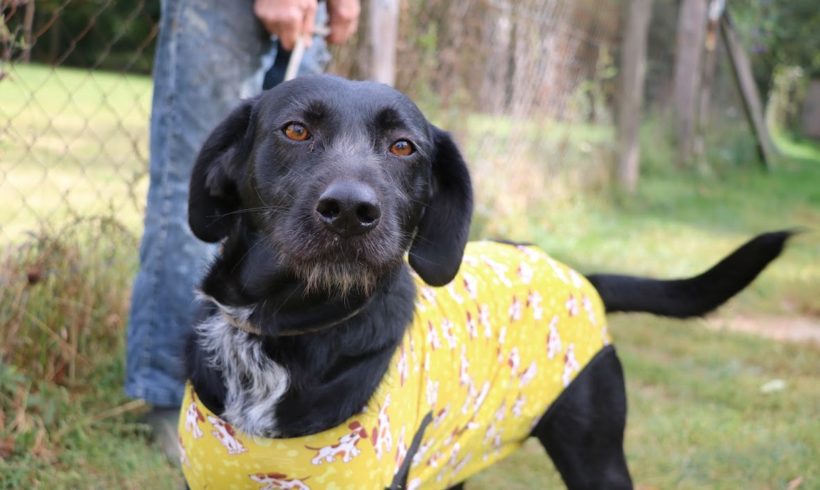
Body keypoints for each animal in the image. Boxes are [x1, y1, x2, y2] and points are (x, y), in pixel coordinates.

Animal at [181, 74, 788, 488]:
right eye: (295, 130)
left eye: (404, 146)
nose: (352, 210)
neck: (283, 329)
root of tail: (580, 276)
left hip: (596, 455)